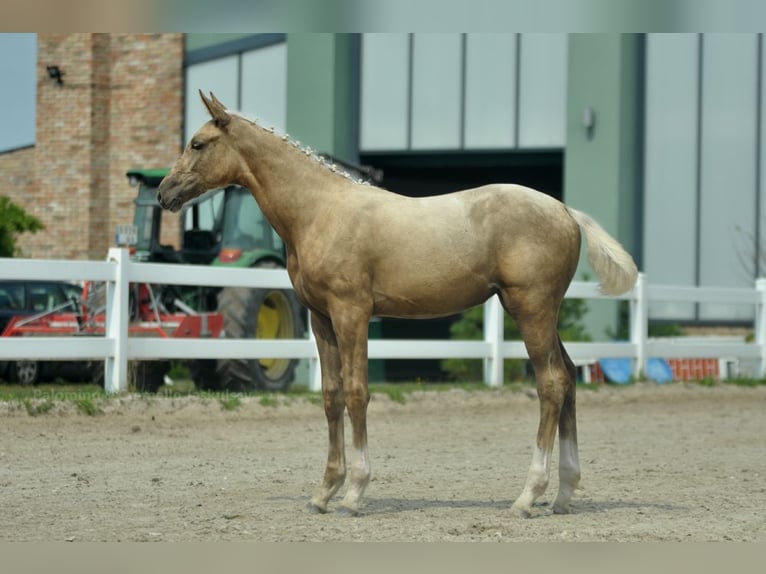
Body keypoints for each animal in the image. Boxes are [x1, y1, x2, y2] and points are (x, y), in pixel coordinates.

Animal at [159, 92, 640, 520]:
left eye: (198, 143)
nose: (165, 193)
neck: (319, 211)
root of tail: (565, 211)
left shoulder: (351, 313)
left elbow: (357, 392)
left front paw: (354, 494)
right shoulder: (321, 319)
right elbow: (331, 396)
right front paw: (323, 492)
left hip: (531, 310)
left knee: (551, 384)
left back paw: (527, 497)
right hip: (542, 314)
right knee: (570, 377)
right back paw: (563, 495)